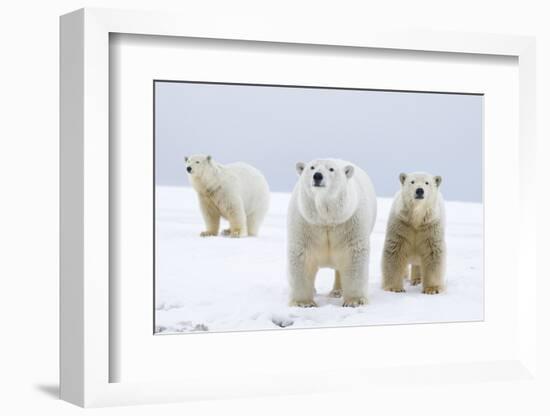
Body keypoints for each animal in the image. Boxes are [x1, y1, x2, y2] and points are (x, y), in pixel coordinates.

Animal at [286, 158, 378, 308]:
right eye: (312, 167)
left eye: (331, 169)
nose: (317, 176)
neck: (326, 220)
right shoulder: (306, 222)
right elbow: (302, 255)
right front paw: (304, 303)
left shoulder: (349, 221)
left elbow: (353, 255)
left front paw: (354, 301)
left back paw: (337, 291)